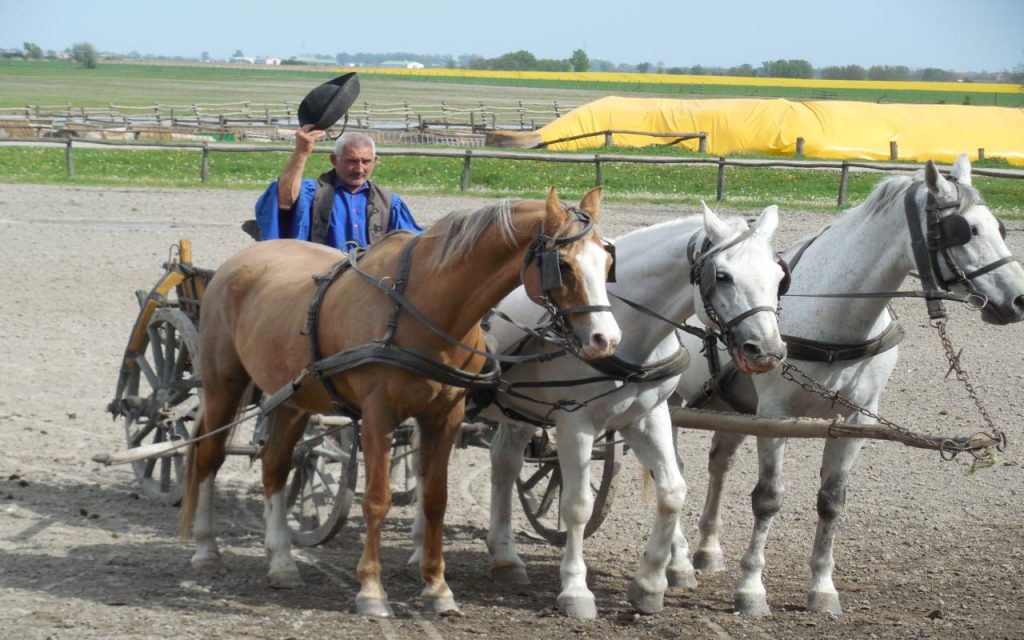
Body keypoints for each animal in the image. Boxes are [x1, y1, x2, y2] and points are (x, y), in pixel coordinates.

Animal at [180, 184, 618, 614]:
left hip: (291, 398)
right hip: (223, 383)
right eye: (564, 265)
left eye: (607, 262)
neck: (423, 307)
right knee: (208, 456)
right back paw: (205, 549)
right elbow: (377, 499)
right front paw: (371, 590)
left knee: (275, 466)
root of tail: (238, 262)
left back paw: (282, 562)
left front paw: (438, 588)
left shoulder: (444, 416)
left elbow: (435, 498)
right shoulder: (379, 415)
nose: (606, 339)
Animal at [405, 201, 782, 618]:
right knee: (425, 466)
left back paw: (505, 558)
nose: (768, 350)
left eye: (779, 276)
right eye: (724, 276)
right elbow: (577, 505)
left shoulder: (648, 416)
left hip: (518, 409)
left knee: (504, 464)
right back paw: (422, 550)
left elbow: (672, 492)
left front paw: (650, 584)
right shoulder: (575, 422)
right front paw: (575, 591)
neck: (629, 331)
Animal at [671, 152, 1024, 618]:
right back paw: (675, 558)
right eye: (965, 230)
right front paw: (751, 589)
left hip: (732, 405)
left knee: (719, 463)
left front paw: (822, 588)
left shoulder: (855, 418)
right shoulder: (776, 415)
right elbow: (768, 498)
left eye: (1000, 227)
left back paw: (707, 550)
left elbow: (832, 501)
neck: (834, 314)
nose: (1018, 300)